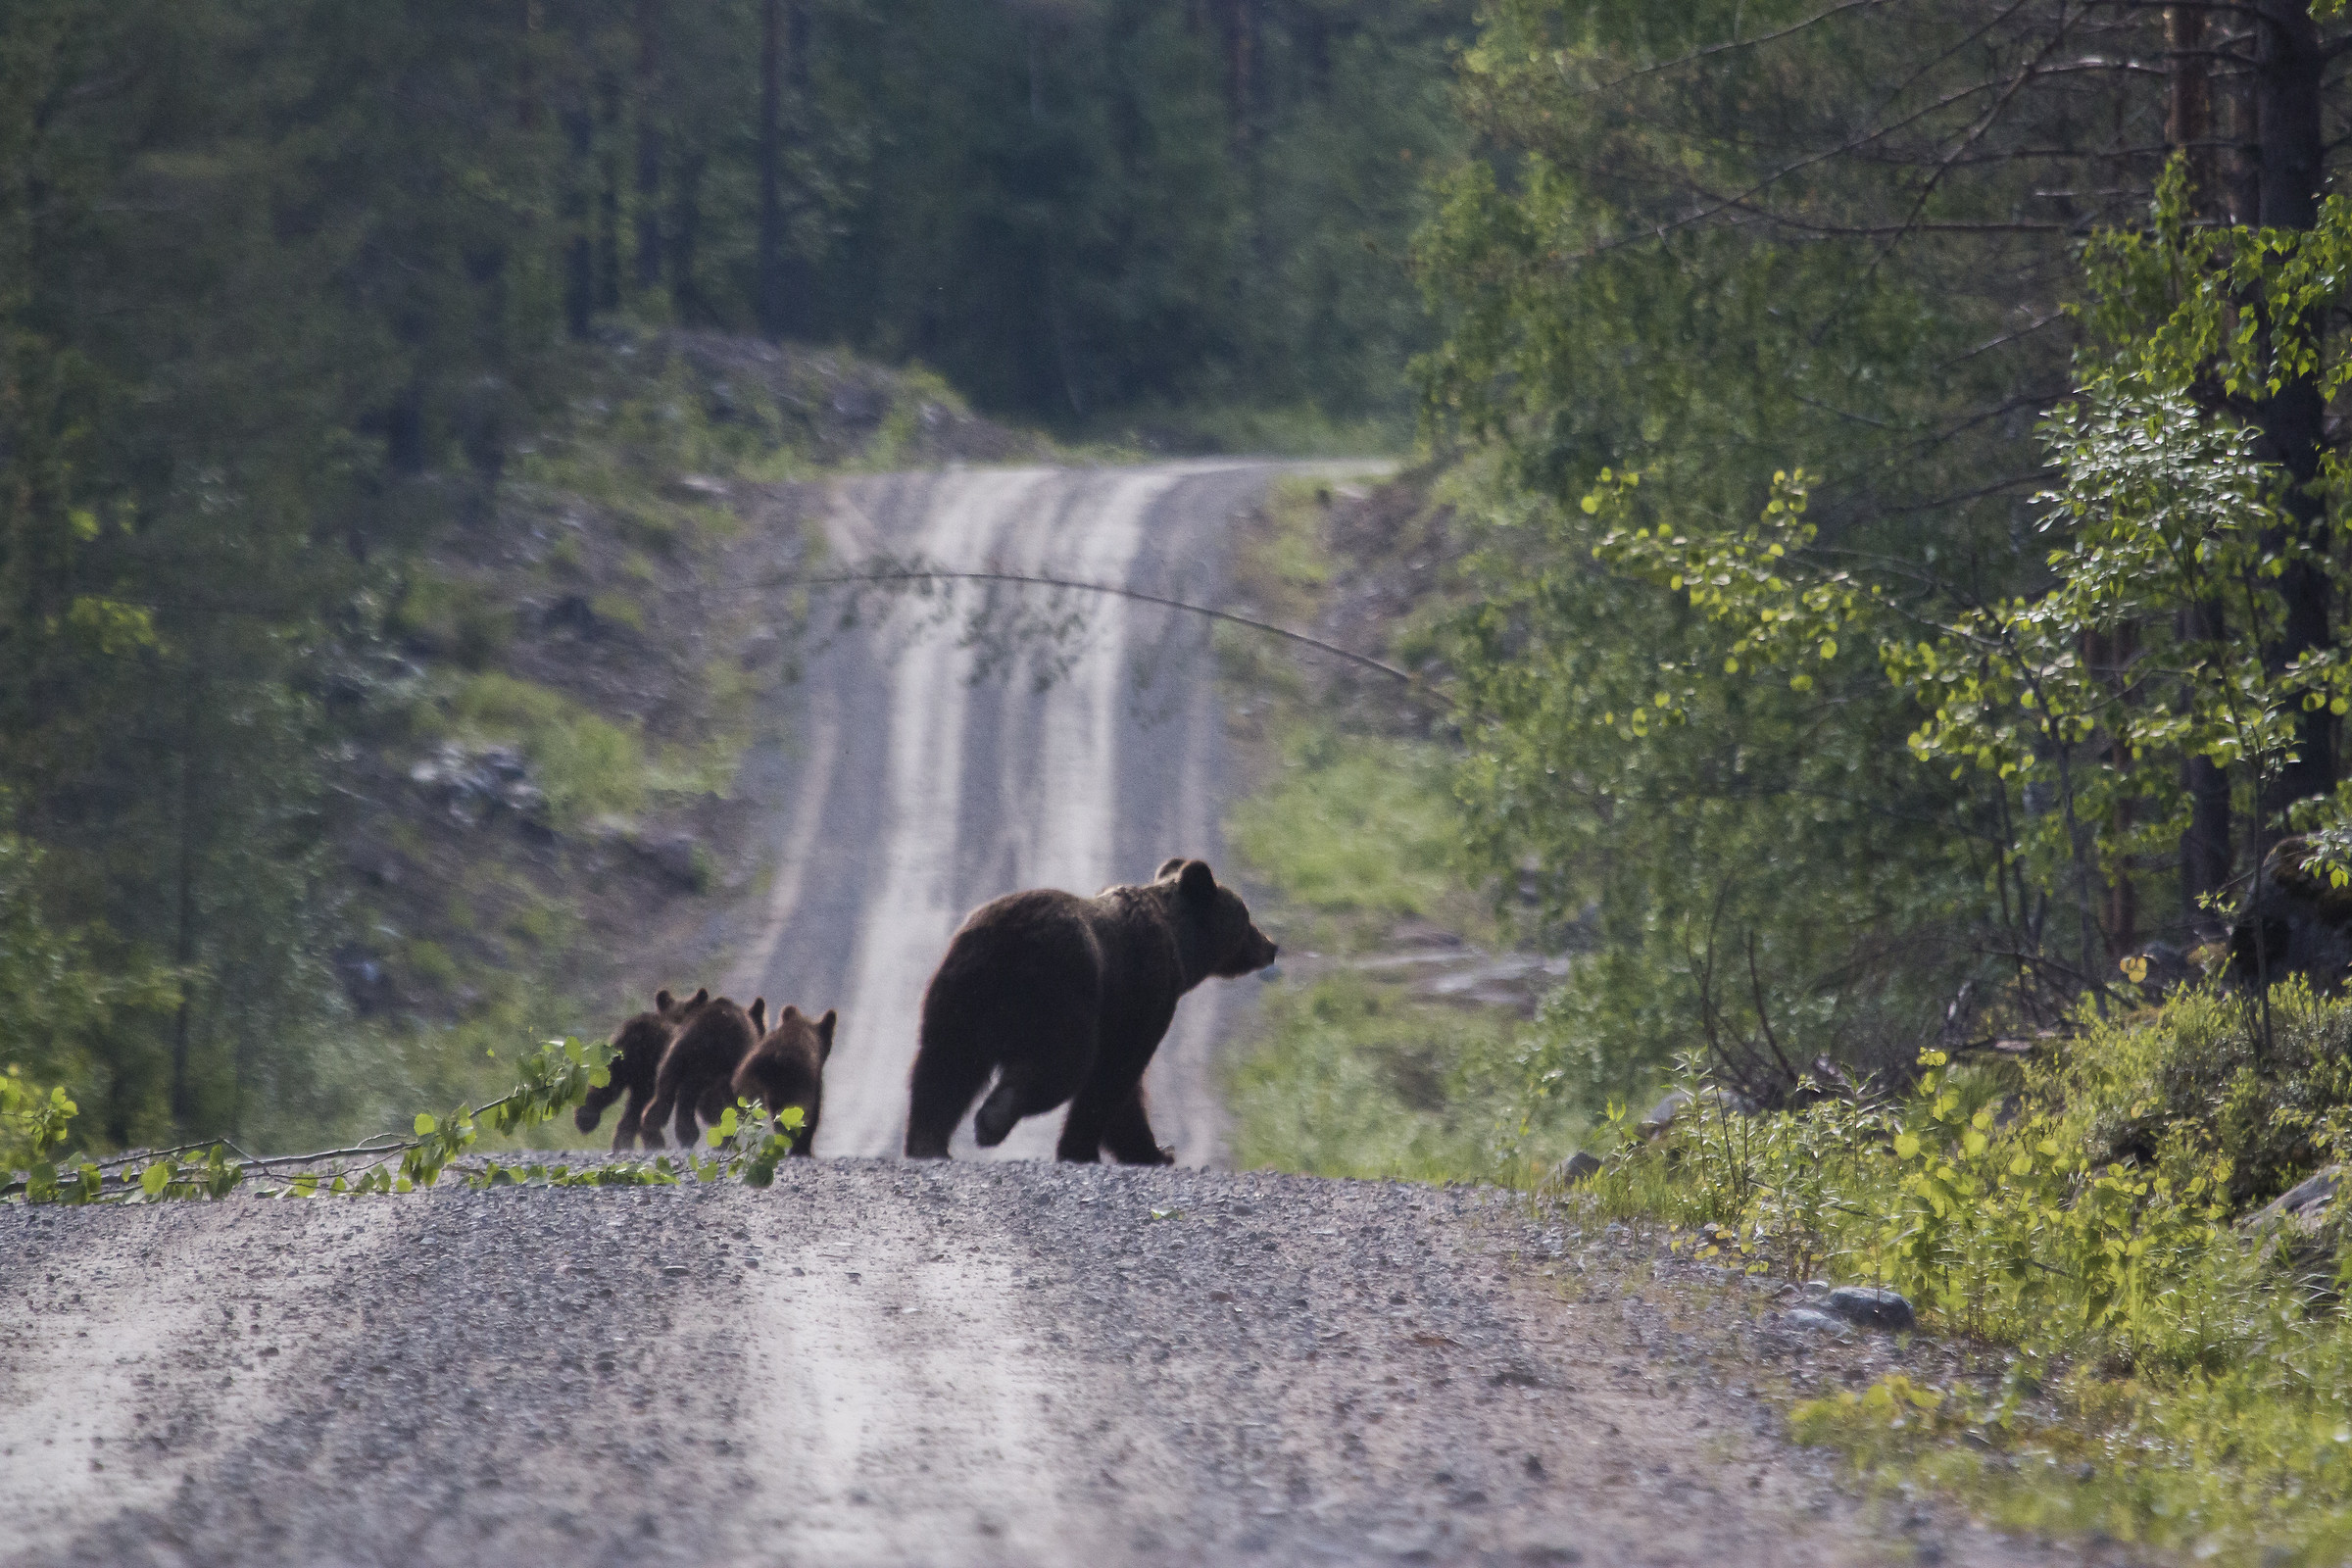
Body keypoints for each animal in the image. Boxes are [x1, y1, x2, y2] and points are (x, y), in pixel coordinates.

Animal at [575, 987, 708, 1152]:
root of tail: (636, 1030)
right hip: (647, 1071)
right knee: (638, 1103)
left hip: (617, 1063)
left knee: (608, 1089)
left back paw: (589, 1120)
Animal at [903, 857, 1277, 1163]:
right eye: (1246, 917)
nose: (1271, 946)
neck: (1181, 948)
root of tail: (1006, 941)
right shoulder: (1141, 995)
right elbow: (1114, 1075)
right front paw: (1099, 1149)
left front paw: (1155, 1150)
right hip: (1062, 990)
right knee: (1064, 1064)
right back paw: (993, 1118)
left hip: (961, 995)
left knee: (944, 1067)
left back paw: (928, 1143)